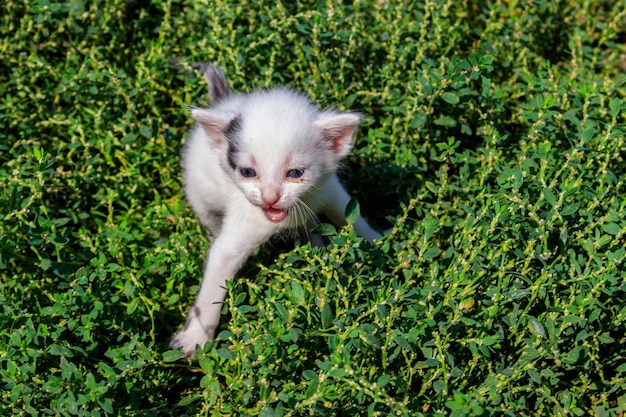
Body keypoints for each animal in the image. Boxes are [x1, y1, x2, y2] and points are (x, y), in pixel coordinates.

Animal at [168, 62, 378, 354]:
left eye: (295, 173)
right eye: (247, 172)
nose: (270, 197)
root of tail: (224, 102)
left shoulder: (328, 191)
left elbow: (353, 219)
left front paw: (382, 243)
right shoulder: (237, 232)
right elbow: (213, 283)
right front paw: (196, 336)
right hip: (199, 192)